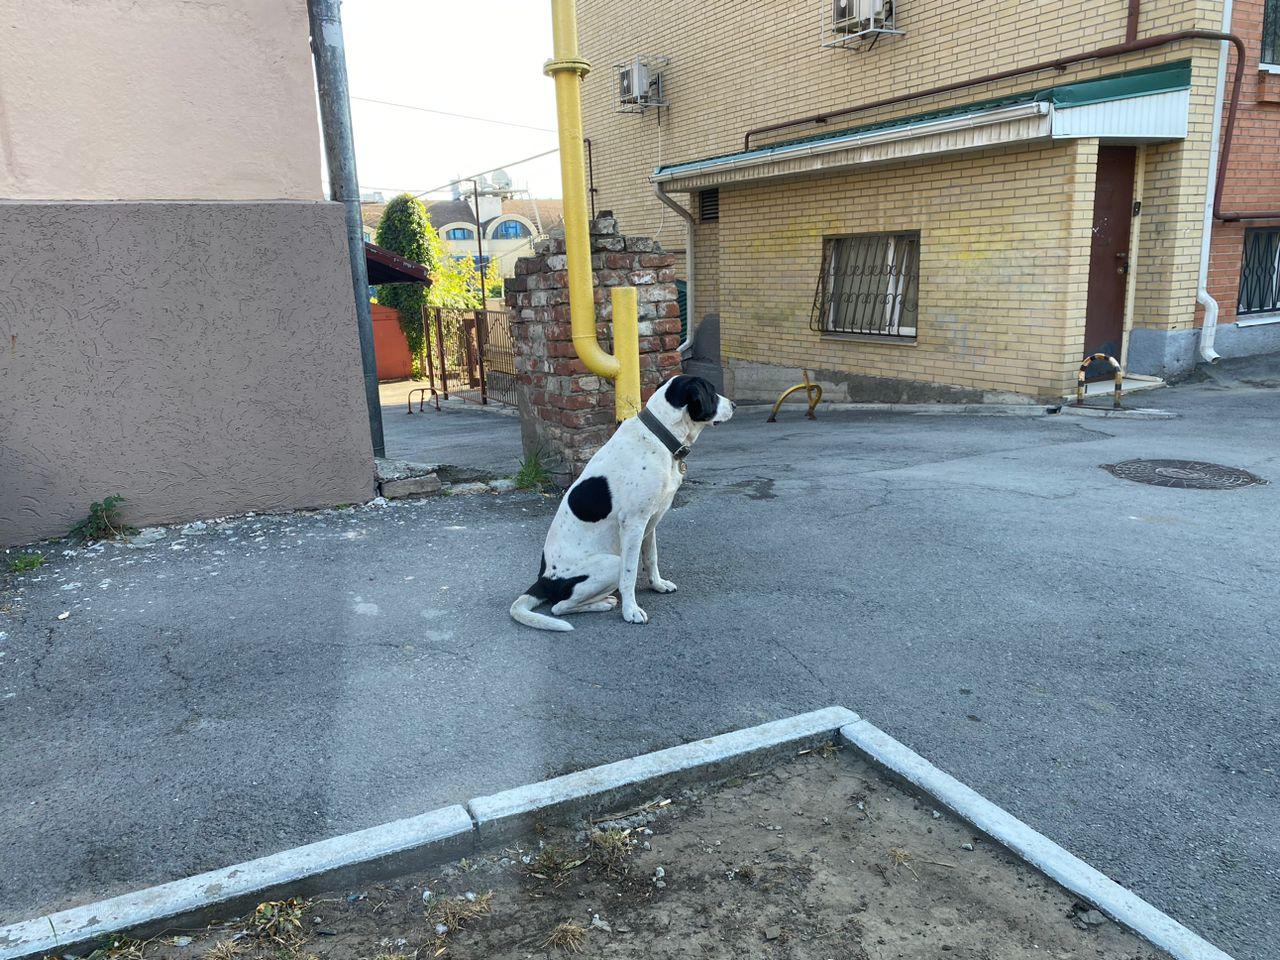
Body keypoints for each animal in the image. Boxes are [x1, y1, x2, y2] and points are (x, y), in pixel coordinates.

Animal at [506, 373, 737, 632]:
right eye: (712, 392)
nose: (734, 405)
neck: (660, 436)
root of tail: (543, 580)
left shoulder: (650, 522)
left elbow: (651, 558)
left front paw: (658, 584)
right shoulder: (633, 524)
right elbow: (630, 574)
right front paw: (631, 610)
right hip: (610, 564)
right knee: (560, 607)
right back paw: (604, 603)